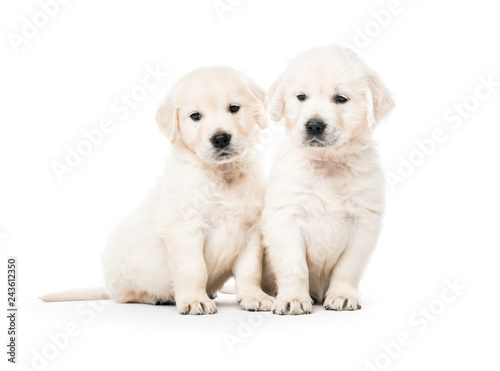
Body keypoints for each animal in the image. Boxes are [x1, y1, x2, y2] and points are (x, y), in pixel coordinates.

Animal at [43, 66, 276, 314]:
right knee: (127, 296)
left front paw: (254, 296)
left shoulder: (251, 231)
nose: (221, 138)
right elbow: (194, 269)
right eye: (195, 116)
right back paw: (157, 297)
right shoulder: (185, 229)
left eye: (234, 108)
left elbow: (250, 271)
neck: (222, 174)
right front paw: (195, 299)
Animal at [262, 45, 394, 316]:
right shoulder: (285, 218)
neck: (327, 164)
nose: (314, 125)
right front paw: (293, 299)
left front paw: (342, 295)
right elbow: (294, 266)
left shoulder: (363, 222)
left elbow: (348, 267)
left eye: (341, 99)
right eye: (301, 97)